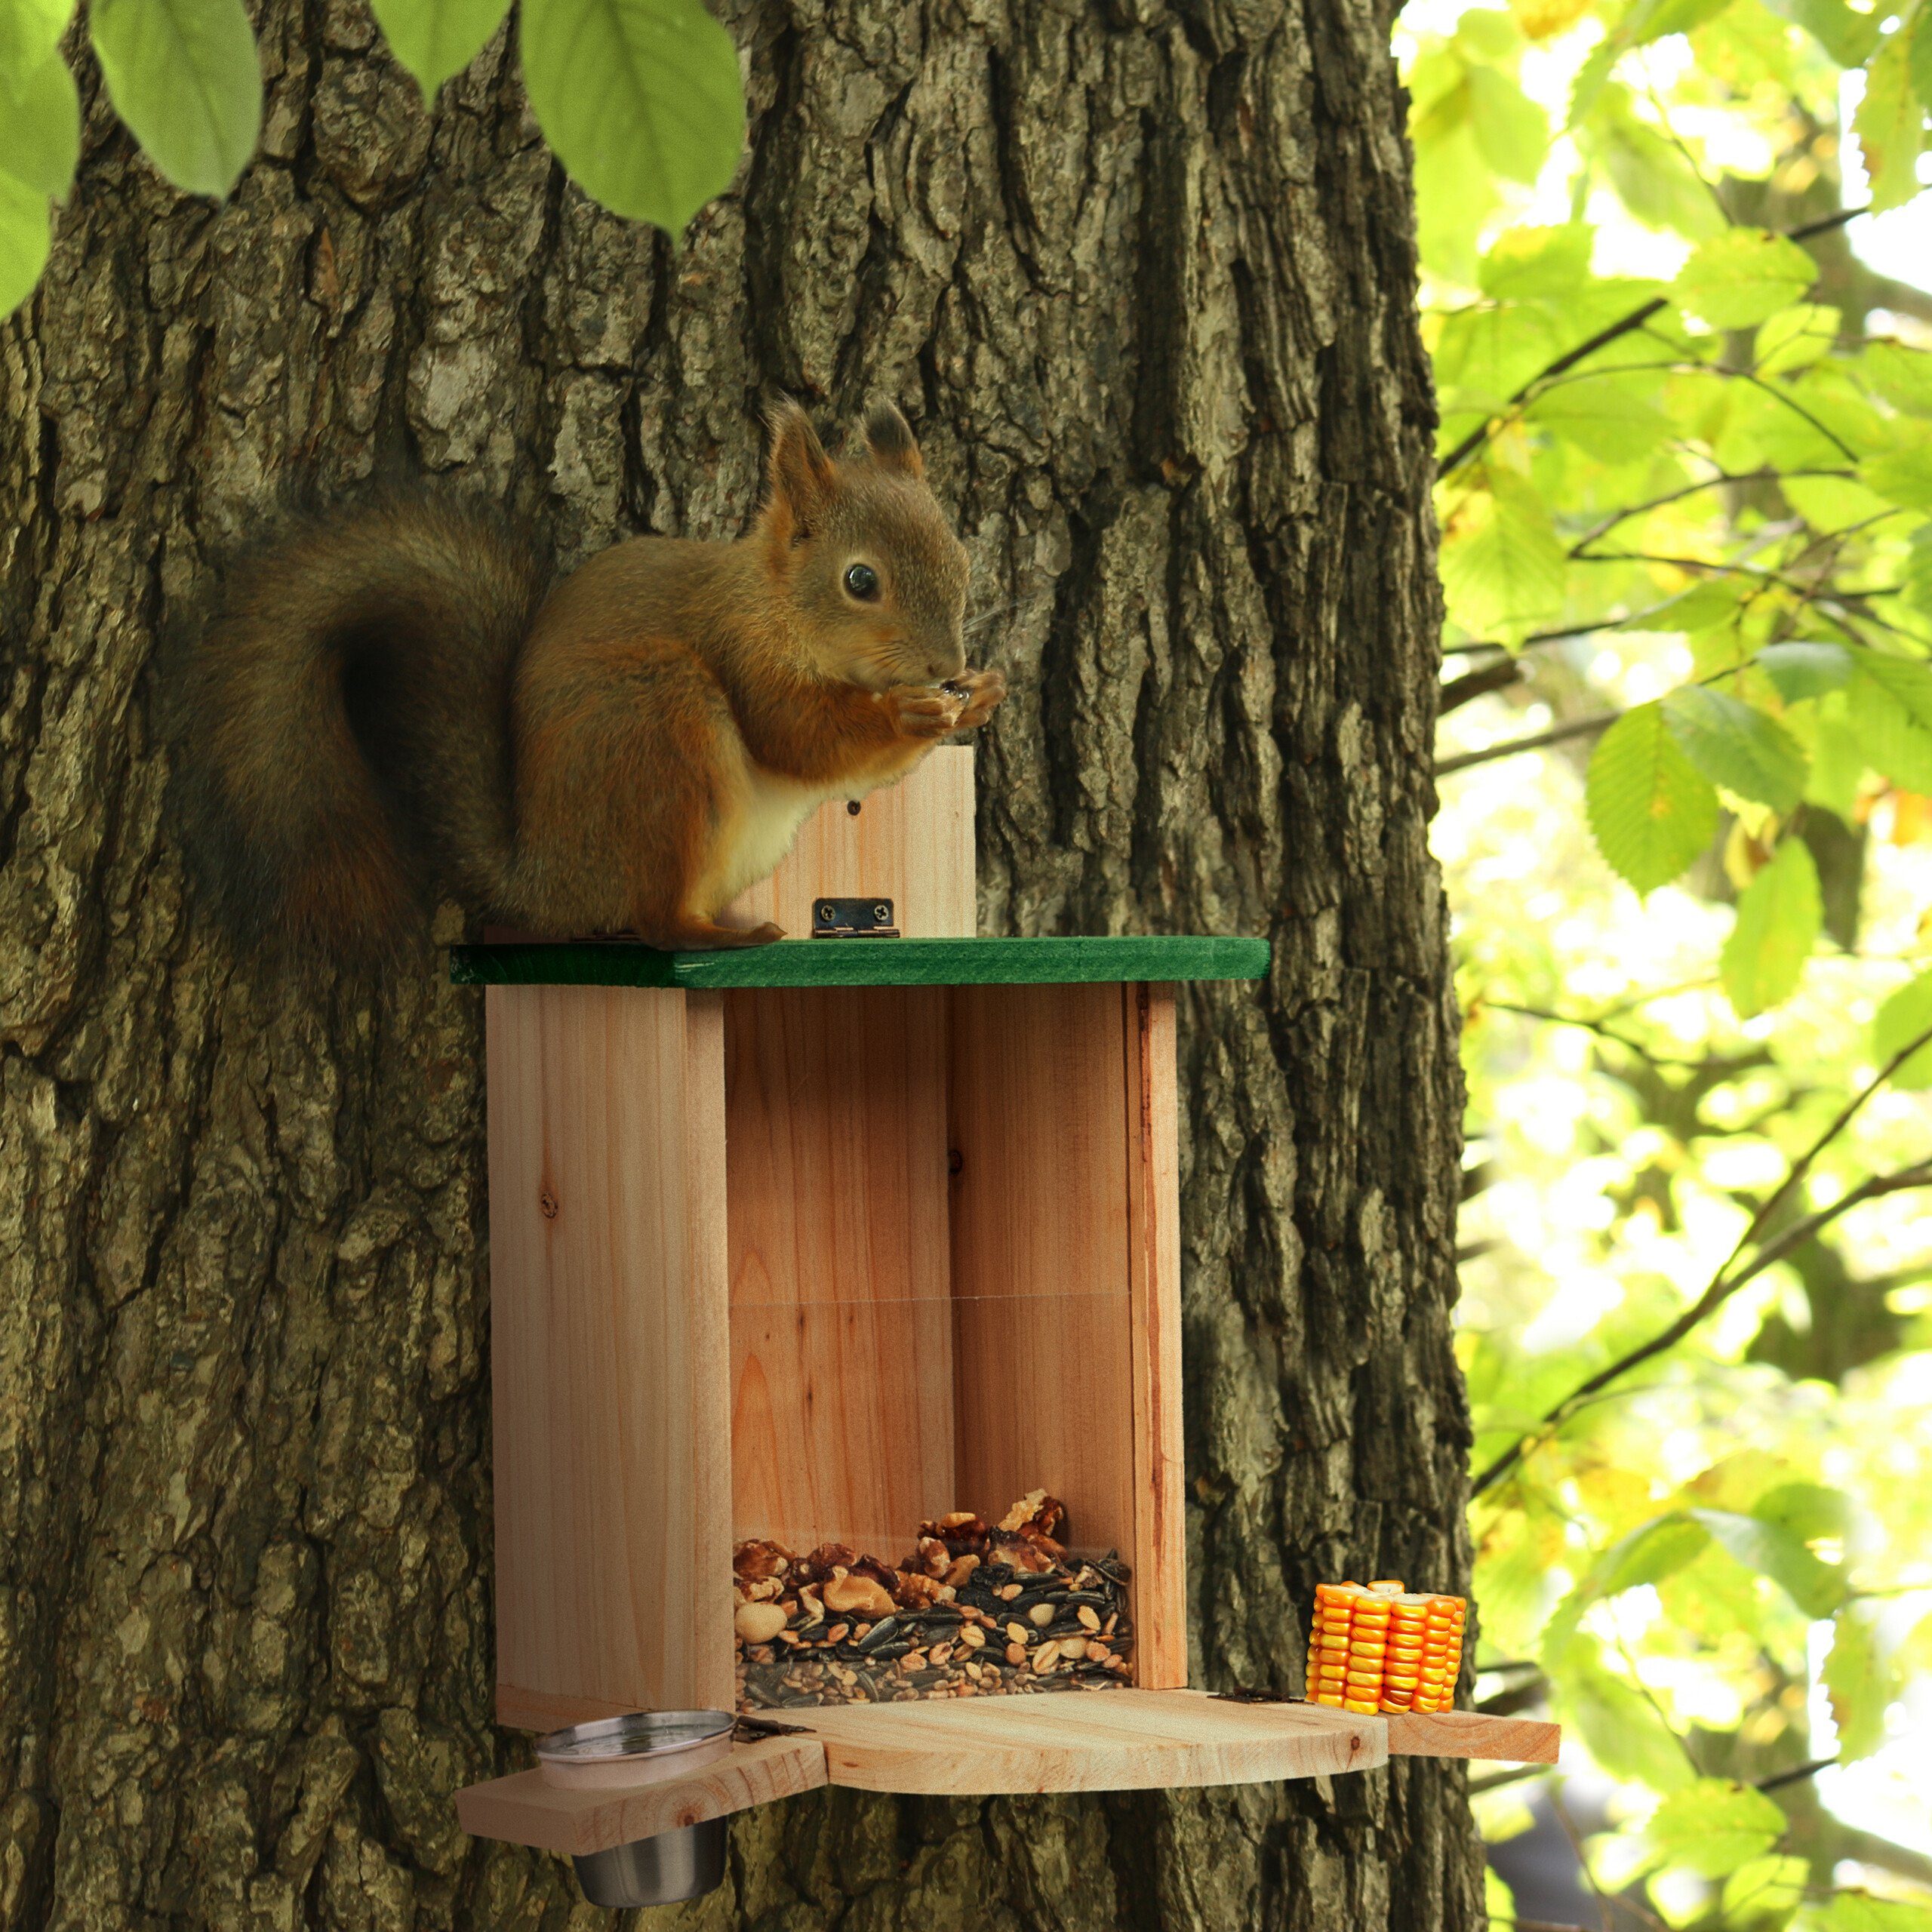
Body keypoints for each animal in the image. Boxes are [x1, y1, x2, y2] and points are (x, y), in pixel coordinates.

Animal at [180, 401, 1005, 957]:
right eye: (860, 580)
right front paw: (911, 716)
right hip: (656, 731)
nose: (944, 666)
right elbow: (800, 738)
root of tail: (546, 880)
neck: (773, 603)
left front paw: (981, 694)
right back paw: (721, 937)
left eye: (962, 557)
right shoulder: (744, 654)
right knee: (655, 923)